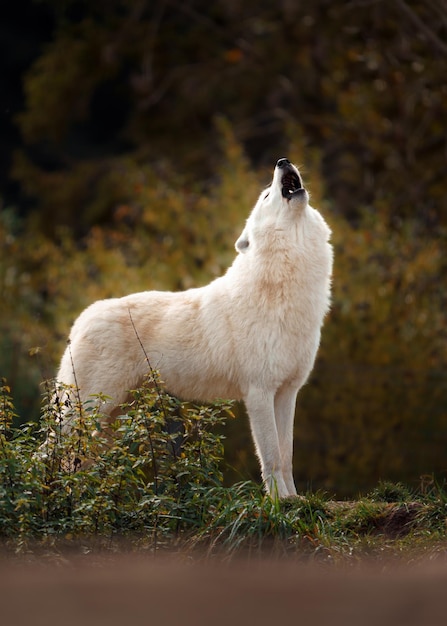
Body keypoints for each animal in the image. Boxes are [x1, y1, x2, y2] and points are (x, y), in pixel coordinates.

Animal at [56, 157, 332, 498]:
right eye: (267, 195)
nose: (282, 161)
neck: (283, 285)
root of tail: (83, 318)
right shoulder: (259, 393)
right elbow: (271, 457)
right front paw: (276, 502)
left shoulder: (287, 393)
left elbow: (287, 455)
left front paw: (294, 499)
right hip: (85, 412)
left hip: (109, 418)